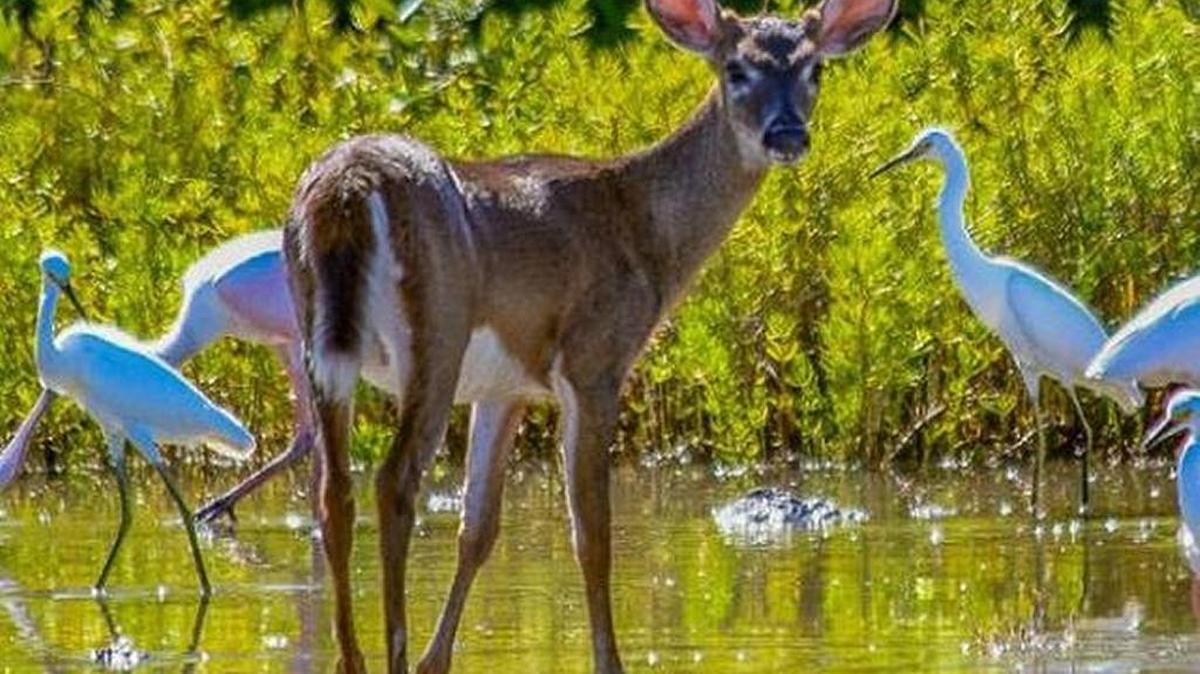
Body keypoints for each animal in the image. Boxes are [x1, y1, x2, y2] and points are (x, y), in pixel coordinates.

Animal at [283, 0, 897, 671]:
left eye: (814, 69)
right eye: (737, 69)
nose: (786, 135)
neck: (644, 229)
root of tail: (346, 189)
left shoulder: (504, 386)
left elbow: (480, 528)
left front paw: (435, 658)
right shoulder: (595, 360)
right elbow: (593, 532)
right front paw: (609, 659)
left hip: (319, 334)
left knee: (332, 493)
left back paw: (352, 656)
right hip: (437, 331)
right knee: (393, 482)